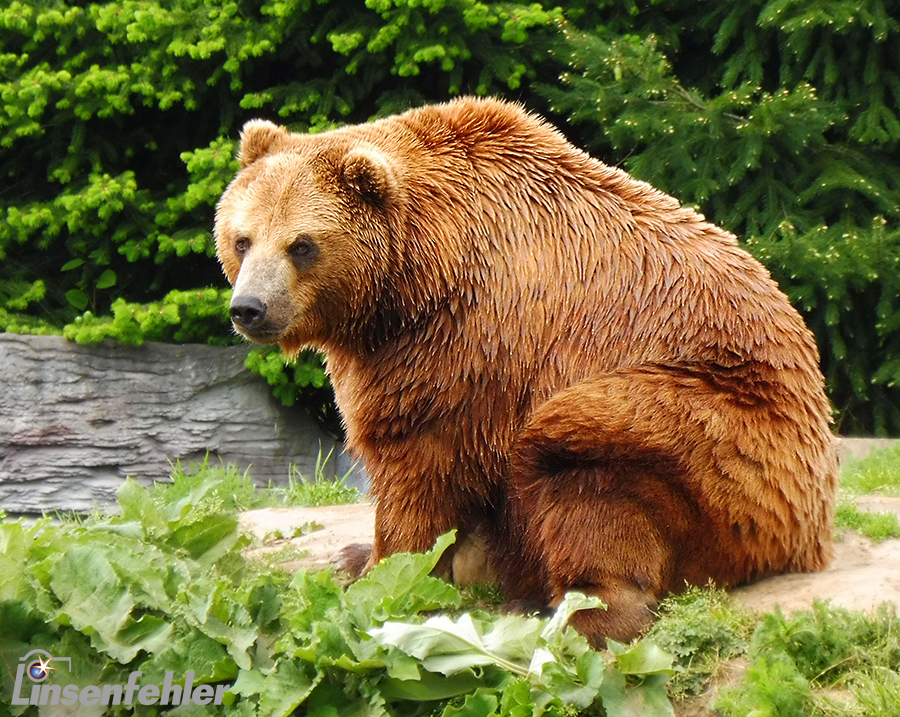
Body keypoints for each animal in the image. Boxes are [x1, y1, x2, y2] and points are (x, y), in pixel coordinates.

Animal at [214, 96, 840, 644]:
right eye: (243, 239)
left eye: (302, 245)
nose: (250, 308)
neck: (412, 278)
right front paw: (354, 557)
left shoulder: (466, 342)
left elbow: (419, 461)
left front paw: (387, 572)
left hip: (725, 429)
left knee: (582, 455)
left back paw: (579, 612)